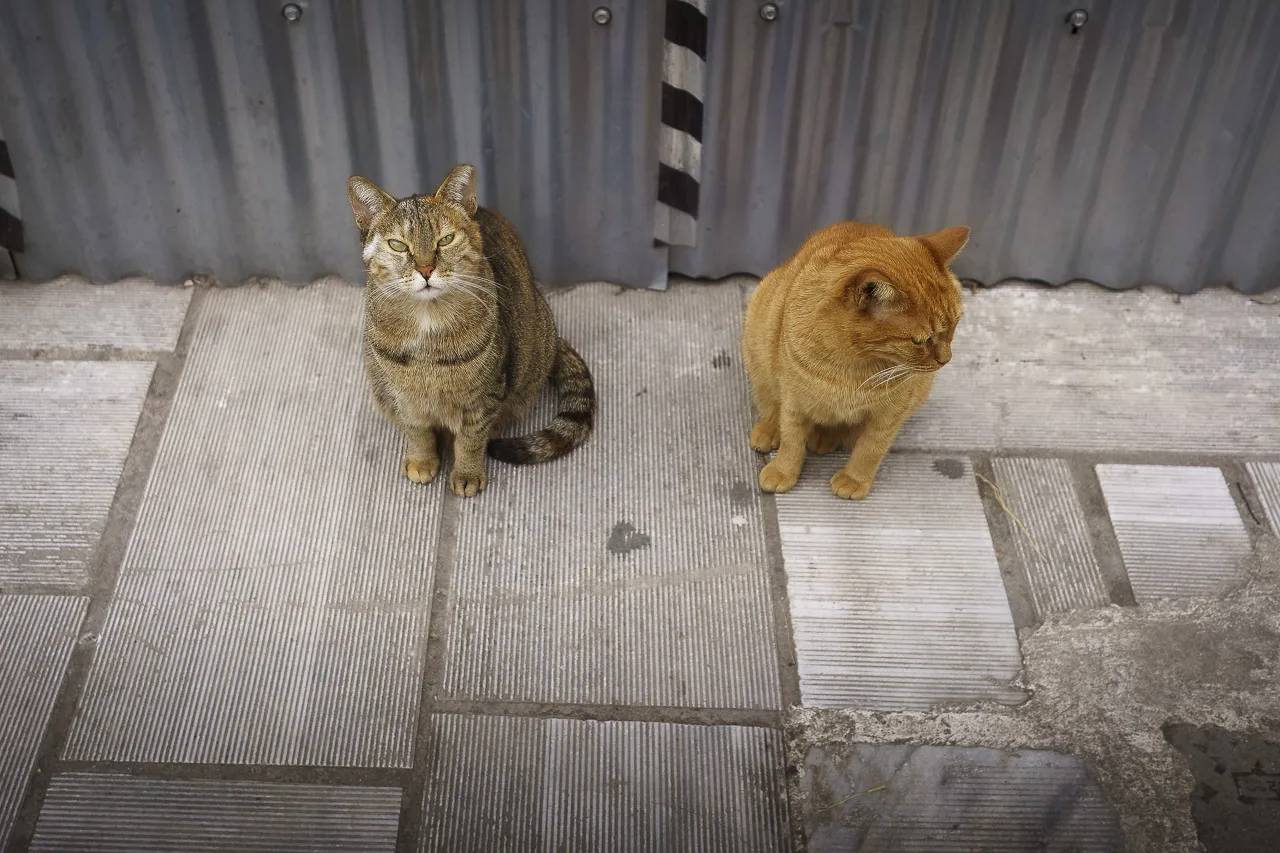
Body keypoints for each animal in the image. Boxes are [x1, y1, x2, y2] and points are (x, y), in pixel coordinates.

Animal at [345, 163, 593, 494]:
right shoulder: (404, 395)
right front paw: (422, 460)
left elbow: (471, 437)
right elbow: (417, 430)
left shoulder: (485, 393)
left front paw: (467, 473)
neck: (428, 322)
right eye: (398, 245)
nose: (425, 269)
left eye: (445, 239)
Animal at [747, 219, 962, 499]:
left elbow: (870, 449)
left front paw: (855, 479)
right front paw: (784, 471)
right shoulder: (794, 399)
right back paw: (769, 430)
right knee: (770, 404)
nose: (946, 359)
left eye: (955, 325)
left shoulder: (891, 415)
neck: (850, 368)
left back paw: (824, 438)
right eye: (919, 341)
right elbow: (791, 438)